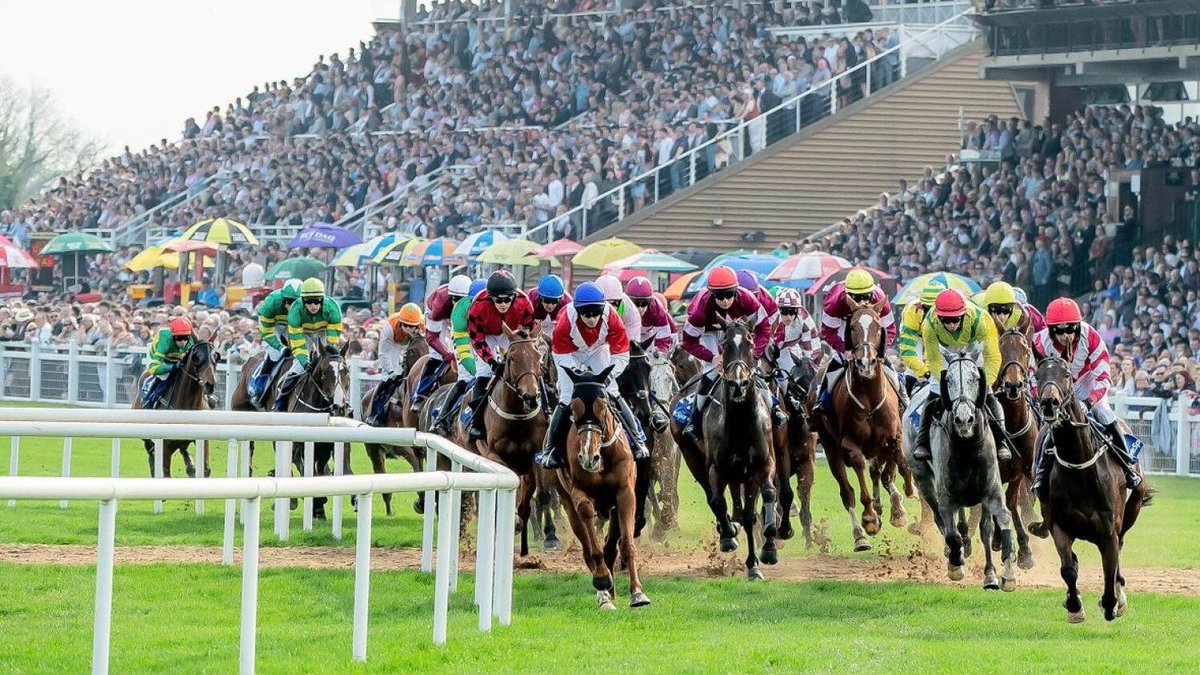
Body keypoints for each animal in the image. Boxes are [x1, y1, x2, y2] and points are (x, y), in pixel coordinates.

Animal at [135, 341, 219, 478]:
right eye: (197, 357)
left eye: (216, 357)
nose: (210, 384)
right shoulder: (165, 446)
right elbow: (166, 473)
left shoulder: (203, 439)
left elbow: (206, 470)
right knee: (150, 448)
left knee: (183, 448)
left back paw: (190, 466)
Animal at [549, 367, 648, 610]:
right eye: (573, 408)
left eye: (602, 405)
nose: (587, 457)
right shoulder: (579, 494)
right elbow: (592, 542)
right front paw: (602, 579)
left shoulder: (625, 494)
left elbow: (626, 545)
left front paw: (637, 593)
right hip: (567, 503)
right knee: (587, 548)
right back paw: (604, 593)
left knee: (611, 547)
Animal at [672, 319, 782, 578]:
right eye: (724, 345)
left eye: (750, 344)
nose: (738, 383)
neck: (740, 422)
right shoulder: (717, 468)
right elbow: (716, 502)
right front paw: (729, 536)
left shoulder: (762, 465)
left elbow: (767, 495)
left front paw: (767, 551)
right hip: (693, 458)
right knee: (714, 497)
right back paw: (729, 532)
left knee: (748, 511)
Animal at [811, 307, 902, 550]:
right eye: (852, 326)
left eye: (878, 325)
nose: (866, 362)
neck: (869, 398)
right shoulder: (850, 443)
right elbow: (860, 466)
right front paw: (870, 517)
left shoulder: (894, 436)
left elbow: (889, 472)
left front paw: (897, 510)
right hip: (830, 448)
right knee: (847, 492)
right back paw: (860, 534)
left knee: (878, 473)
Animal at [1032, 355, 1152, 624]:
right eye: (1037, 376)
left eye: (1066, 374)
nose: (1049, 403)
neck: (1081, 470)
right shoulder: (1059, 526)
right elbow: (1068, 569)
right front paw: (1075, 606)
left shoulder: (1108, 531)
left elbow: (1109, 567)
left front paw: (1112, 603)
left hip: (1132, 508)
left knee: (1120, 548)